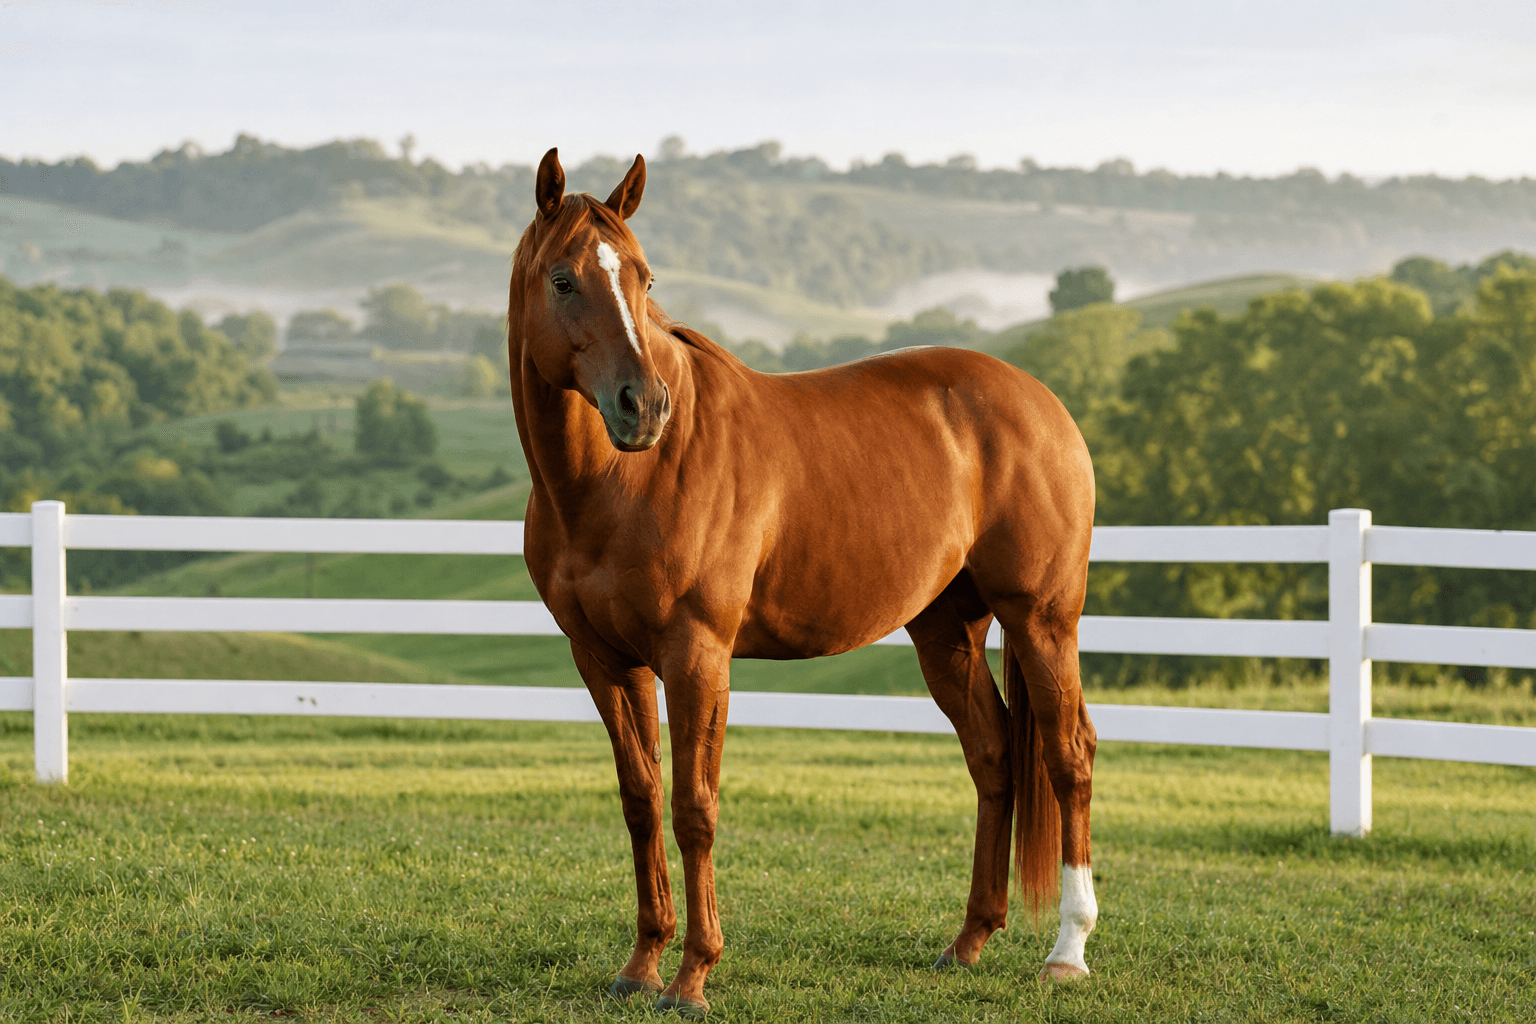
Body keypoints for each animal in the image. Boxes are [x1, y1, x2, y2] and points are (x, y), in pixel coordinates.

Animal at [506, 148, 1099, 1016]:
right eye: (562, 280)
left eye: (644, 279)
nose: (642, 407)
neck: (618, 483)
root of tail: (1042, 403)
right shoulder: (603, 659)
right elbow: (641, 801)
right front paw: (641, 964)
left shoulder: (696, 656)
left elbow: (694, 807)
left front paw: (692, 976)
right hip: (946, 631)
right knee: (994, 756)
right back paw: (966, 942)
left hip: (1041, 619)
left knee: (1066, 755)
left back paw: (1067, 952)